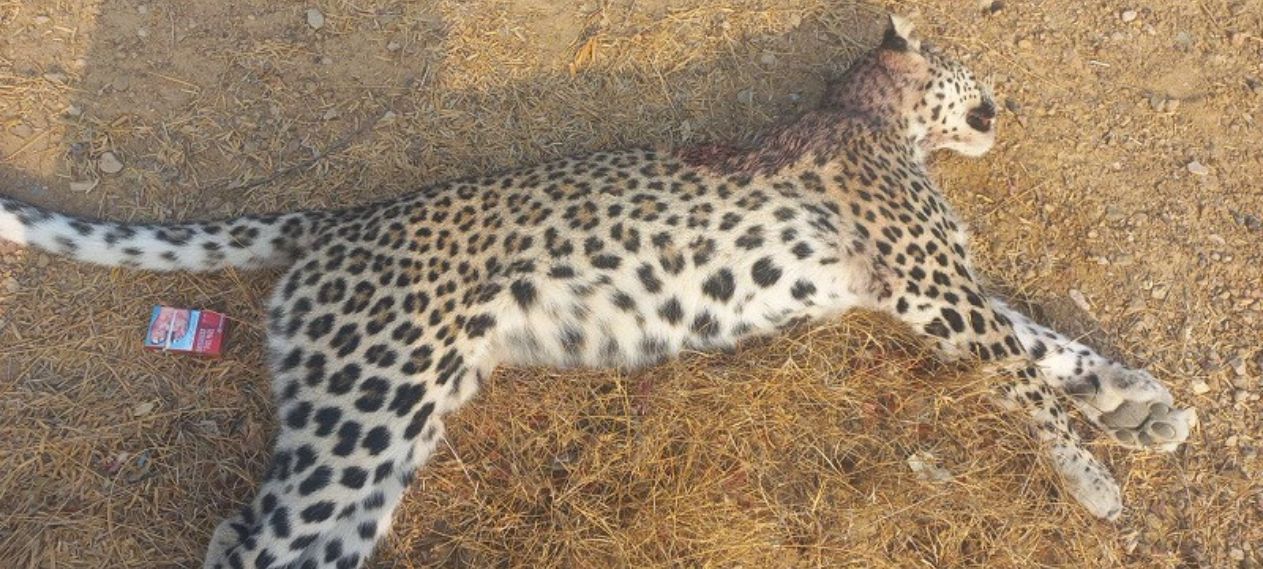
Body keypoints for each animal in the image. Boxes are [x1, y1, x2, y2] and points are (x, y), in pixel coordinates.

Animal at [0, 15, 1194, 569]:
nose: (1008, 99)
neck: (874, 114)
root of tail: (336, 218)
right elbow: (1025, 376)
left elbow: (1048, 345)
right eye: (966, 60)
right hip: (369, 409)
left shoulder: (921, 288)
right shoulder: (930, 285)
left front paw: (1142, 406)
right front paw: (1094, 477)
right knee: (264, 540)